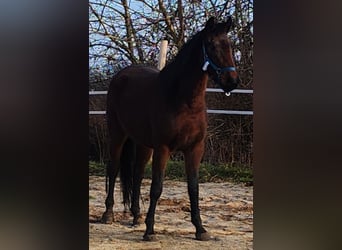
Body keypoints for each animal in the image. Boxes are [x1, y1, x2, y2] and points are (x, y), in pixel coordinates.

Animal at [101, 16, 240, 241]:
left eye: (229, 45)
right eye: (211, 45)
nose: (232, 81)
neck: (184, 101)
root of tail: (121, 75)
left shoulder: (195, 148)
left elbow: (194, 189)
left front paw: (200, 229)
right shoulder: (163, 148)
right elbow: (156, 188)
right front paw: (150, 231)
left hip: (143, 143)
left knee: (137, 174)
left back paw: (136, 216)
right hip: (117, 134)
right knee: (113, 168)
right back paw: (108, 214)